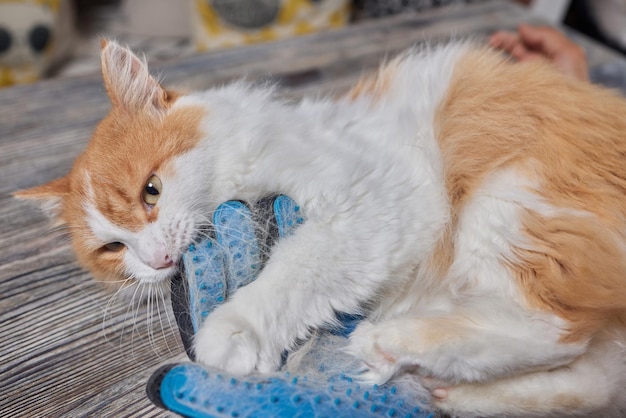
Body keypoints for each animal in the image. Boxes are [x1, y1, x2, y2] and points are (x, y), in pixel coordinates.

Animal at [15, 40, 626, 418]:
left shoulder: (374, 199)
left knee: (552, 331)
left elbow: (293, 271)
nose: (159, 260)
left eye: (151, 191)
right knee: (585, 376)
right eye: (113, 248)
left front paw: (233, 331)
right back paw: (436, 386)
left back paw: (389, 343)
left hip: (513, 205)